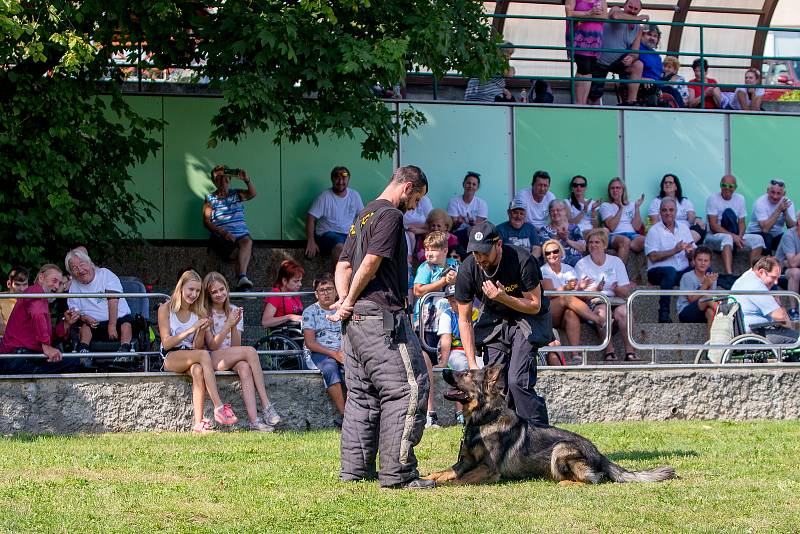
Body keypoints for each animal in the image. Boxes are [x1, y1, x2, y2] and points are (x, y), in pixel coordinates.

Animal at [422, 366, 680, 488]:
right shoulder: (464, 462)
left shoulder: (488, 470)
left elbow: (457, 480)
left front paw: (442, 485)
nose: (444, 370)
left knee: (594, 479)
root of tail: (600, 454)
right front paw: (426, 477)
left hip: (561, 449)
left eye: (465, 374)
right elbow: (443, 472)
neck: (484, 419)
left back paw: (566, 482)